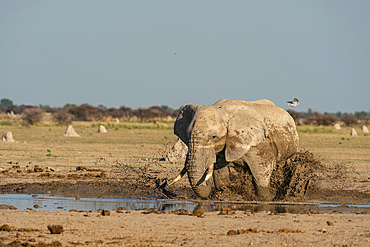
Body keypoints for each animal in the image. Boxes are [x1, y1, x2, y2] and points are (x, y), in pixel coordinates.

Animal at [169, 99, 300, 201]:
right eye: (187, 135)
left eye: (213, 137)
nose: (165, 183)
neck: (222, 110)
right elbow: (219, 170)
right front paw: (223, 194)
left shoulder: (259, 143)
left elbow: (261, 170)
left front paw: (265, 199)